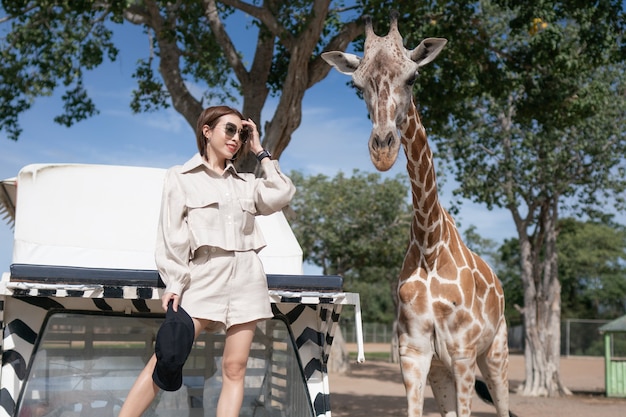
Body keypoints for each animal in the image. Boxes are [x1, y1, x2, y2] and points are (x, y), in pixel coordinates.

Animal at [324, 12, 510, 416]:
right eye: (357, 85)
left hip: (495, 353)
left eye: (413, 76)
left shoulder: (463, 353)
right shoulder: (414, 353)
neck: (429, 244)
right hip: (442, 370)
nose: (383, 150)